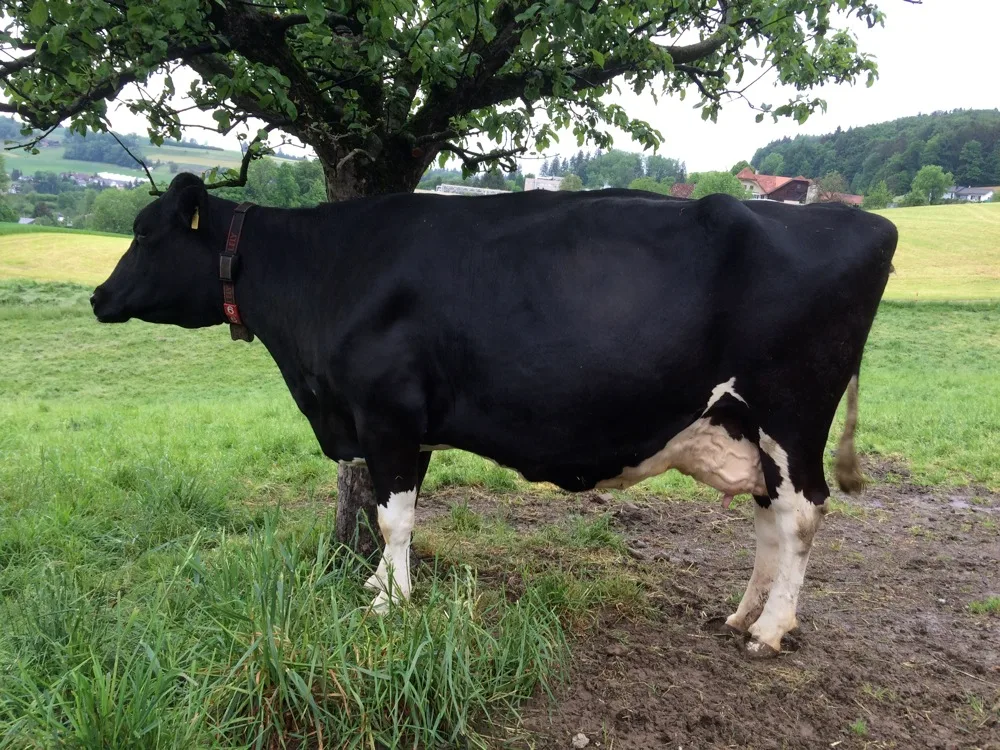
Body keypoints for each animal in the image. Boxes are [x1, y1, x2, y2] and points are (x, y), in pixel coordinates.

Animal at [91, 173, 897, 657]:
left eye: (146, 232)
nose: (98, 297)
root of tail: (864, 223)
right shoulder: (399, 426)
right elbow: (393, 511)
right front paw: (379, 587)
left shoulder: (387, 414)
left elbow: (394, 517)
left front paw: (390, 604)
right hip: (746, 425)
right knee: (770, 519)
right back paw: (742, 614)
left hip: (790, 415)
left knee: (801, 514)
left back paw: (772, 629)